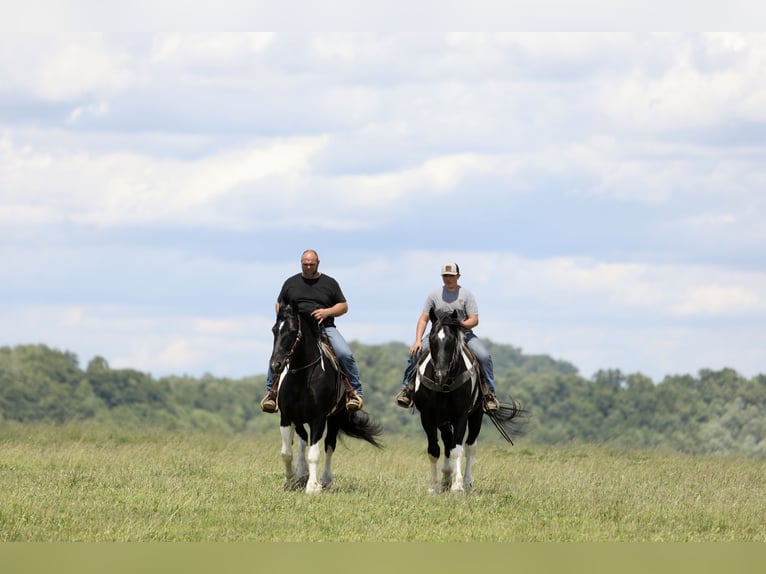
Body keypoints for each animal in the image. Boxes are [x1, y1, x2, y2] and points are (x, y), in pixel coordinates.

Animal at [268, 303, 383, 494]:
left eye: (292, 331)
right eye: (274, 330)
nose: (275, 365)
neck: (302, 377)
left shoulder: (319, 418)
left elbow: (314, 454)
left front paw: (313, 487)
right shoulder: (286, 417)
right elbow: (286, 453)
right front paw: (290, 480)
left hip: (335, 417)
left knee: (329, 445)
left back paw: (326, 480)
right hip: (299, 419)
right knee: (302, 439)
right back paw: (301, 473)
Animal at [412, 309, 526, 494]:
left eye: (451, 340)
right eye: (431, 339)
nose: (440, 374)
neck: (445, 385)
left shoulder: (461, 415)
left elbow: (457, 449)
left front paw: (457, 486)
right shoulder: (427, 417)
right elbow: (434, 450)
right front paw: (433, 487)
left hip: (476, 415)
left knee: (470, 446)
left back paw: (466, 481)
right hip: (443, 420)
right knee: (447, 442)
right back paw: (446, 478)